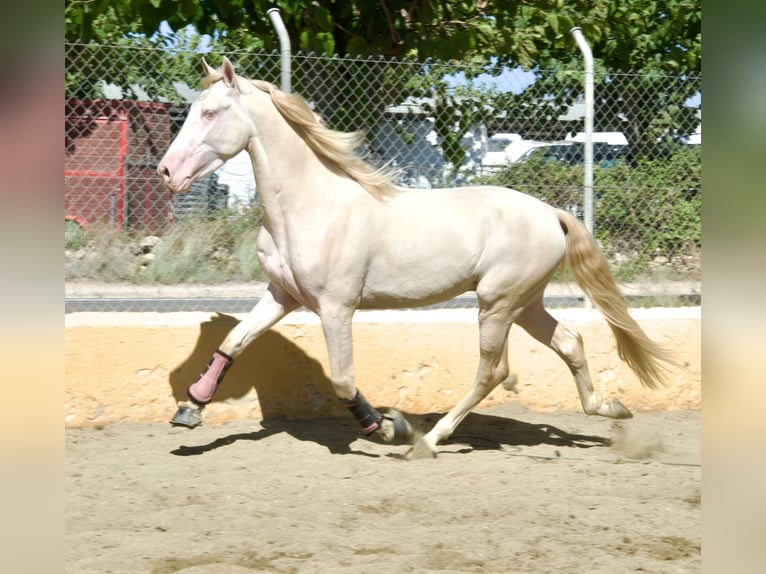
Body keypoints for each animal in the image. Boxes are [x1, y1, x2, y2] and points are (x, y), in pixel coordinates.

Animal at [158, 58, 680, 462]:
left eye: (210, 112)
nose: (166, 172)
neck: (310, 206)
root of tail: (551, 213)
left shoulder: (335, 308)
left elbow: (343, 380)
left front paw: (390, 428)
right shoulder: (283, 295)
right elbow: (233, 342)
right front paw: (190, 408)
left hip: (497, 304)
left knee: (493, 371)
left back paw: (429, 439)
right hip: (525, 303)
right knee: (570, 343)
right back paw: (611, 409)